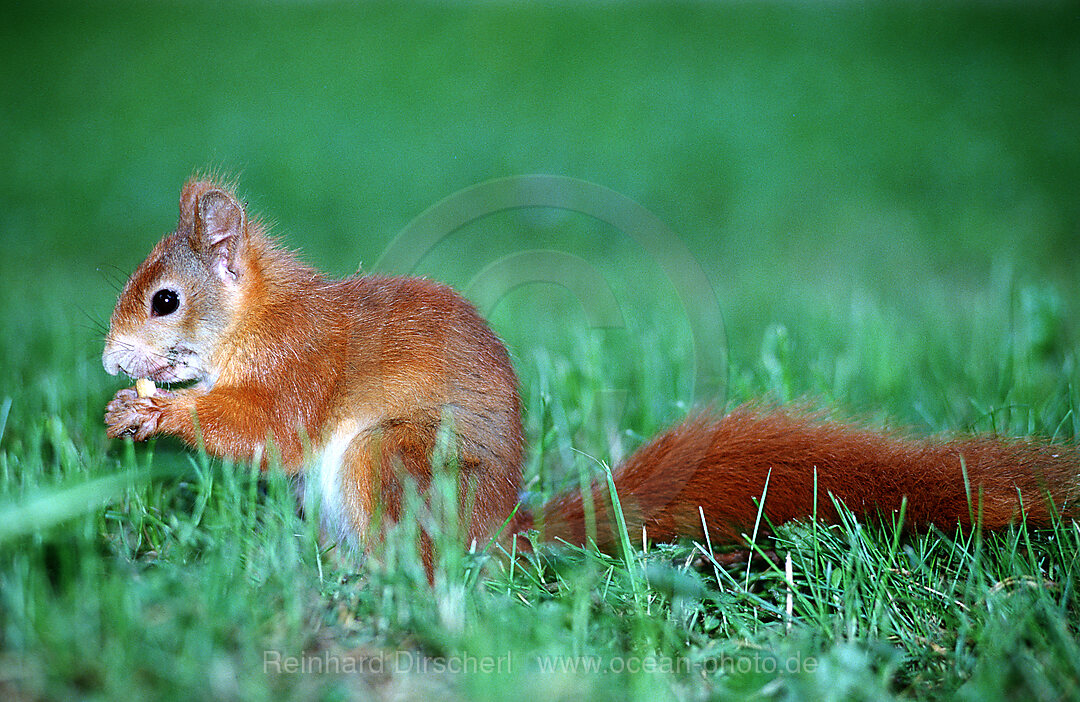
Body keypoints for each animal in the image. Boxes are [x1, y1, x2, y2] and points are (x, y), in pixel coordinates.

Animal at [103, 178, 1080, 561]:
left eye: (164, 301)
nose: (109, 358)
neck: (261, 318)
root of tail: (497, 535)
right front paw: (128, 411)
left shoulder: (306, 364)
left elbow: (271, 429)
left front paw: (160, 414)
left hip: (395, 460)